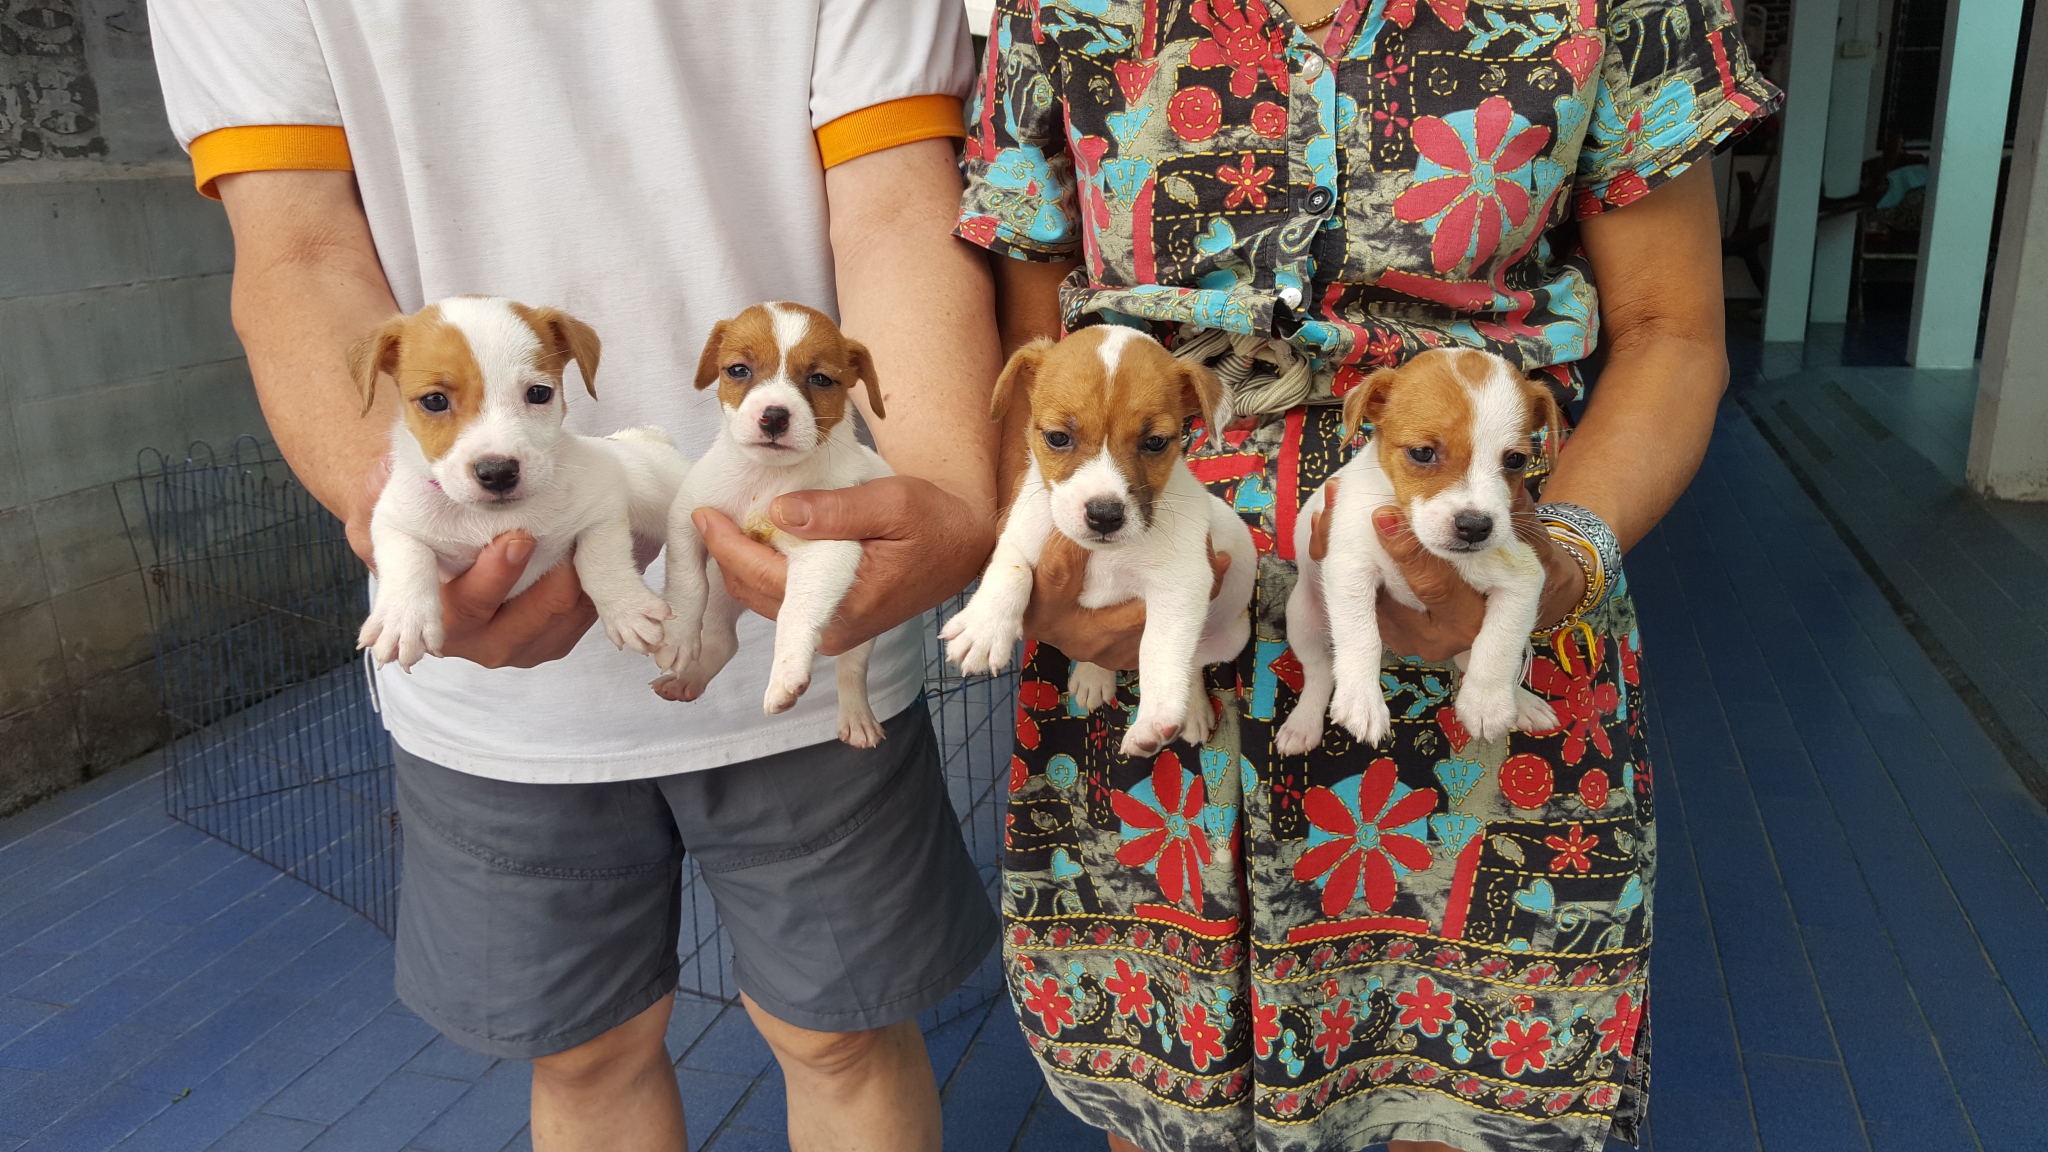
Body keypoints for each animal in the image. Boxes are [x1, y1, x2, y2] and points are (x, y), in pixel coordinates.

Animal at [350, 296, 687, 669]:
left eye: (539, 393)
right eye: (434, 400)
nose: (498, 472)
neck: (492, 518)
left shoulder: (603, 505)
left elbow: (599, 558)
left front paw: (626, 610)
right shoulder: (392, 519)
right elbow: (406, 555)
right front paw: (402, 619)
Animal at [652, 302, 893, 747]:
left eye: (820, 379)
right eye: (738, 370)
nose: (775, 417)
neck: (765, 480)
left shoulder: (826, 550)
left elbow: (795, 611)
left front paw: (786, 673)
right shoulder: (688, 516)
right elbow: (686, 582)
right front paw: (677, 638)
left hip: (863, 631)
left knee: (851, 667)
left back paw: (857, 717)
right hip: (722, 589)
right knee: (722, 641)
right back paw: (688, 678)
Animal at [942, 327, 1257, 759]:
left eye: (1155, 443)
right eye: (1058, 437)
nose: (1105, 515)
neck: (1103, 555)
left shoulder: (1180, 585)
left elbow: (1160, 649)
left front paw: (1154, 720)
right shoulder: (1020, 535)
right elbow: (1011, 569)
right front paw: (984, 629)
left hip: (1230, 636)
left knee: (1193, 661)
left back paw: (1191, 708)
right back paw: (1094, 674)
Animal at [1276, 347, 1561, 755]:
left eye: (1515, 460)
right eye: (1423, 453)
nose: (1475, 526)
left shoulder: (1524, 578)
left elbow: (1499, 643)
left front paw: (1487, 704)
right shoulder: (1349, 570)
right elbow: (1361, 636)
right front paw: (1362, 702)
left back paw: (1521, 702)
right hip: (1304, 617)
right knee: (1318, 672)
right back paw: (1303, 723)